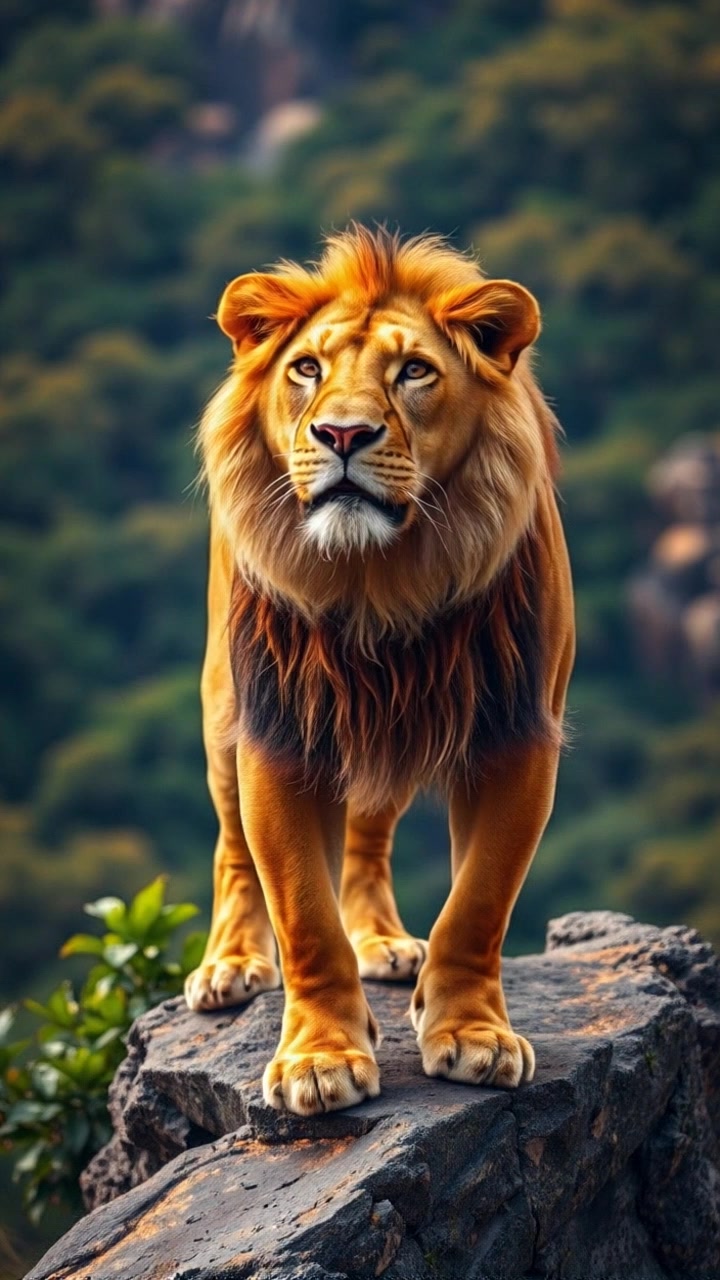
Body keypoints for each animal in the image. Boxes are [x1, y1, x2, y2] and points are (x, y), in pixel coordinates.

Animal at [184, 226, 575, 1117]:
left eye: (415, 372)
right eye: (306, 368)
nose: (342, 435)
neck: (378, 579)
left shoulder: (518, 735)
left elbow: (479, 904)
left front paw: (472, 1034)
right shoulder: (278, 736)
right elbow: (302, 912)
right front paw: (319, 1058)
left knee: (368, 835)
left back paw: (385, 943)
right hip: (222, 708)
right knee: (232, 850)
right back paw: (231, 964)